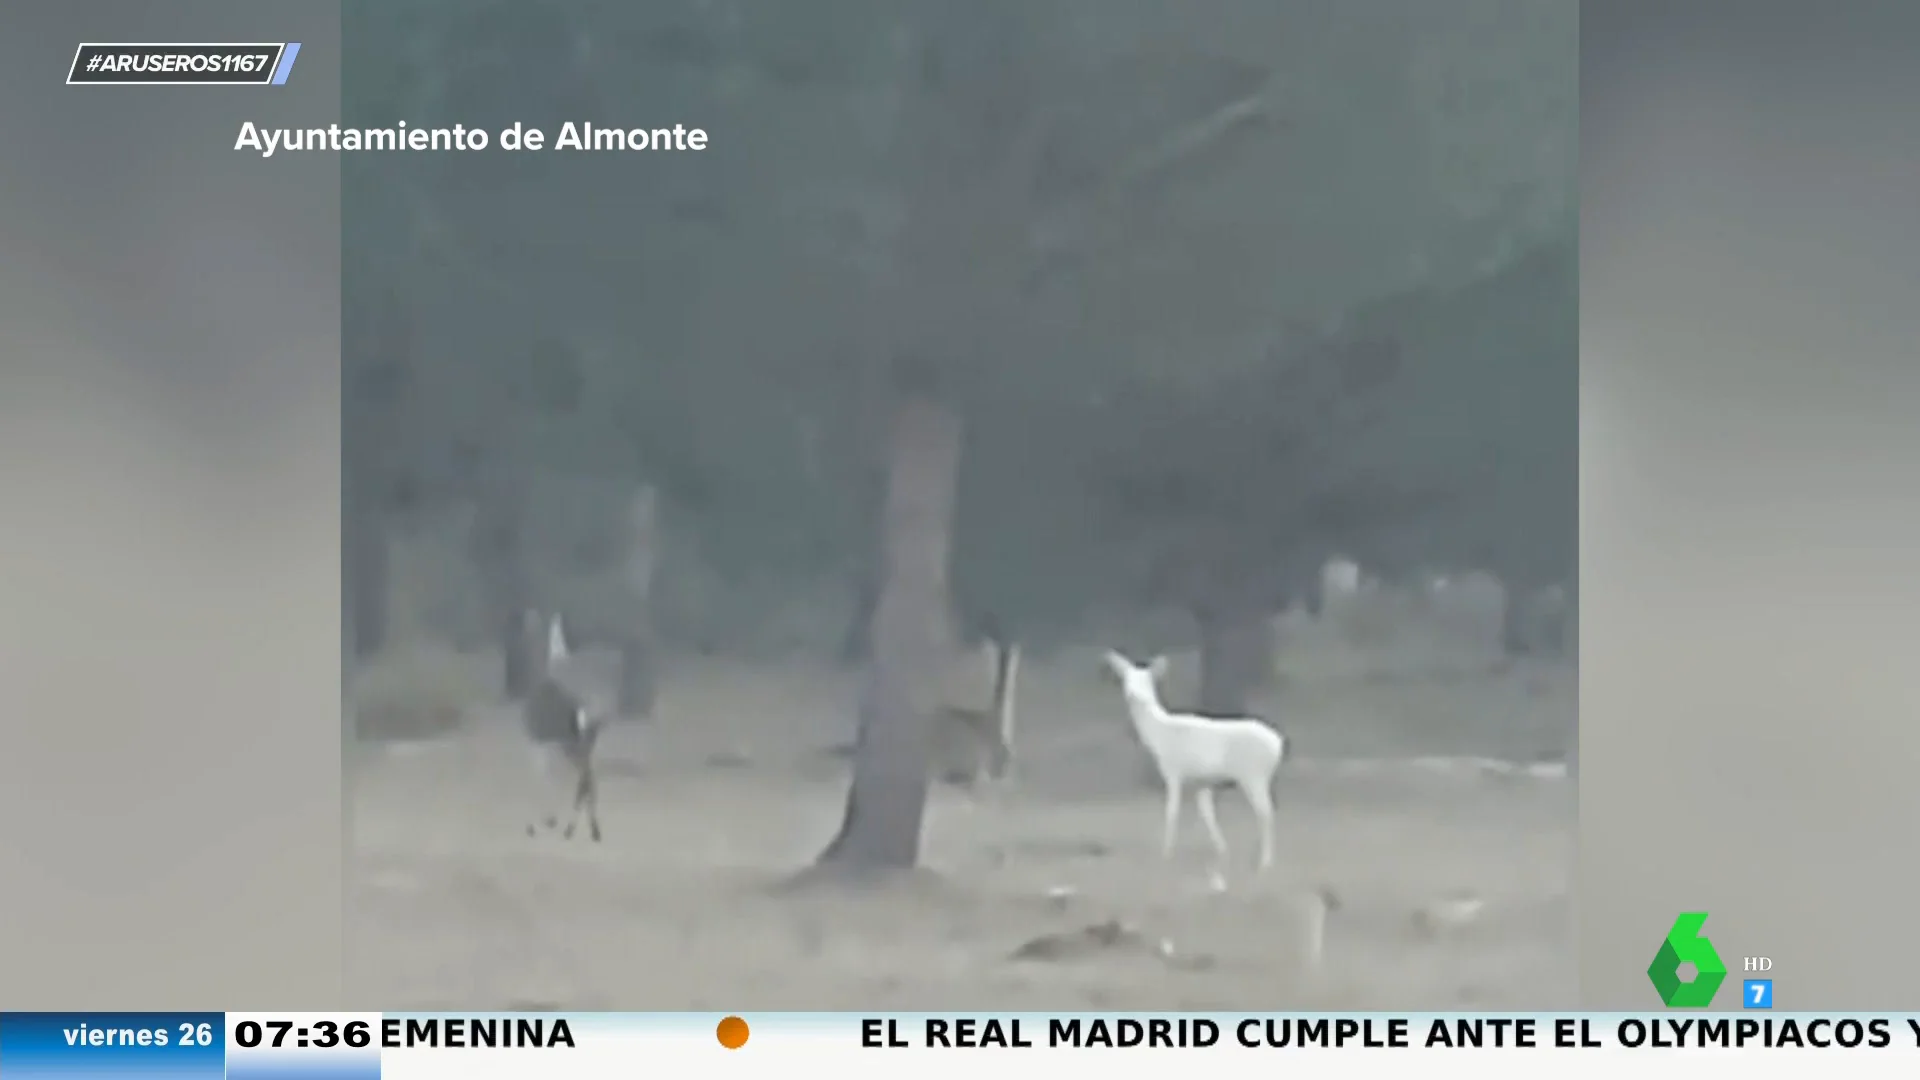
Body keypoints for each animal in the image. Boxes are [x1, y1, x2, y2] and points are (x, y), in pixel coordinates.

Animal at [1105, 645, 1282, 883]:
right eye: (1126, 678)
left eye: (1147, 680)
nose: (1133, 694)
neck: (1158, 735)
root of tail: (1278, 746)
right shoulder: (1202, 781)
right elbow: (1206, 812)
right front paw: (1221, 849)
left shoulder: (1173, 771)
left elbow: (1172, 811)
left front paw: (1166, 853)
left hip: (1254, 776)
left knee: (1266, 813)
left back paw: (1265, 863)